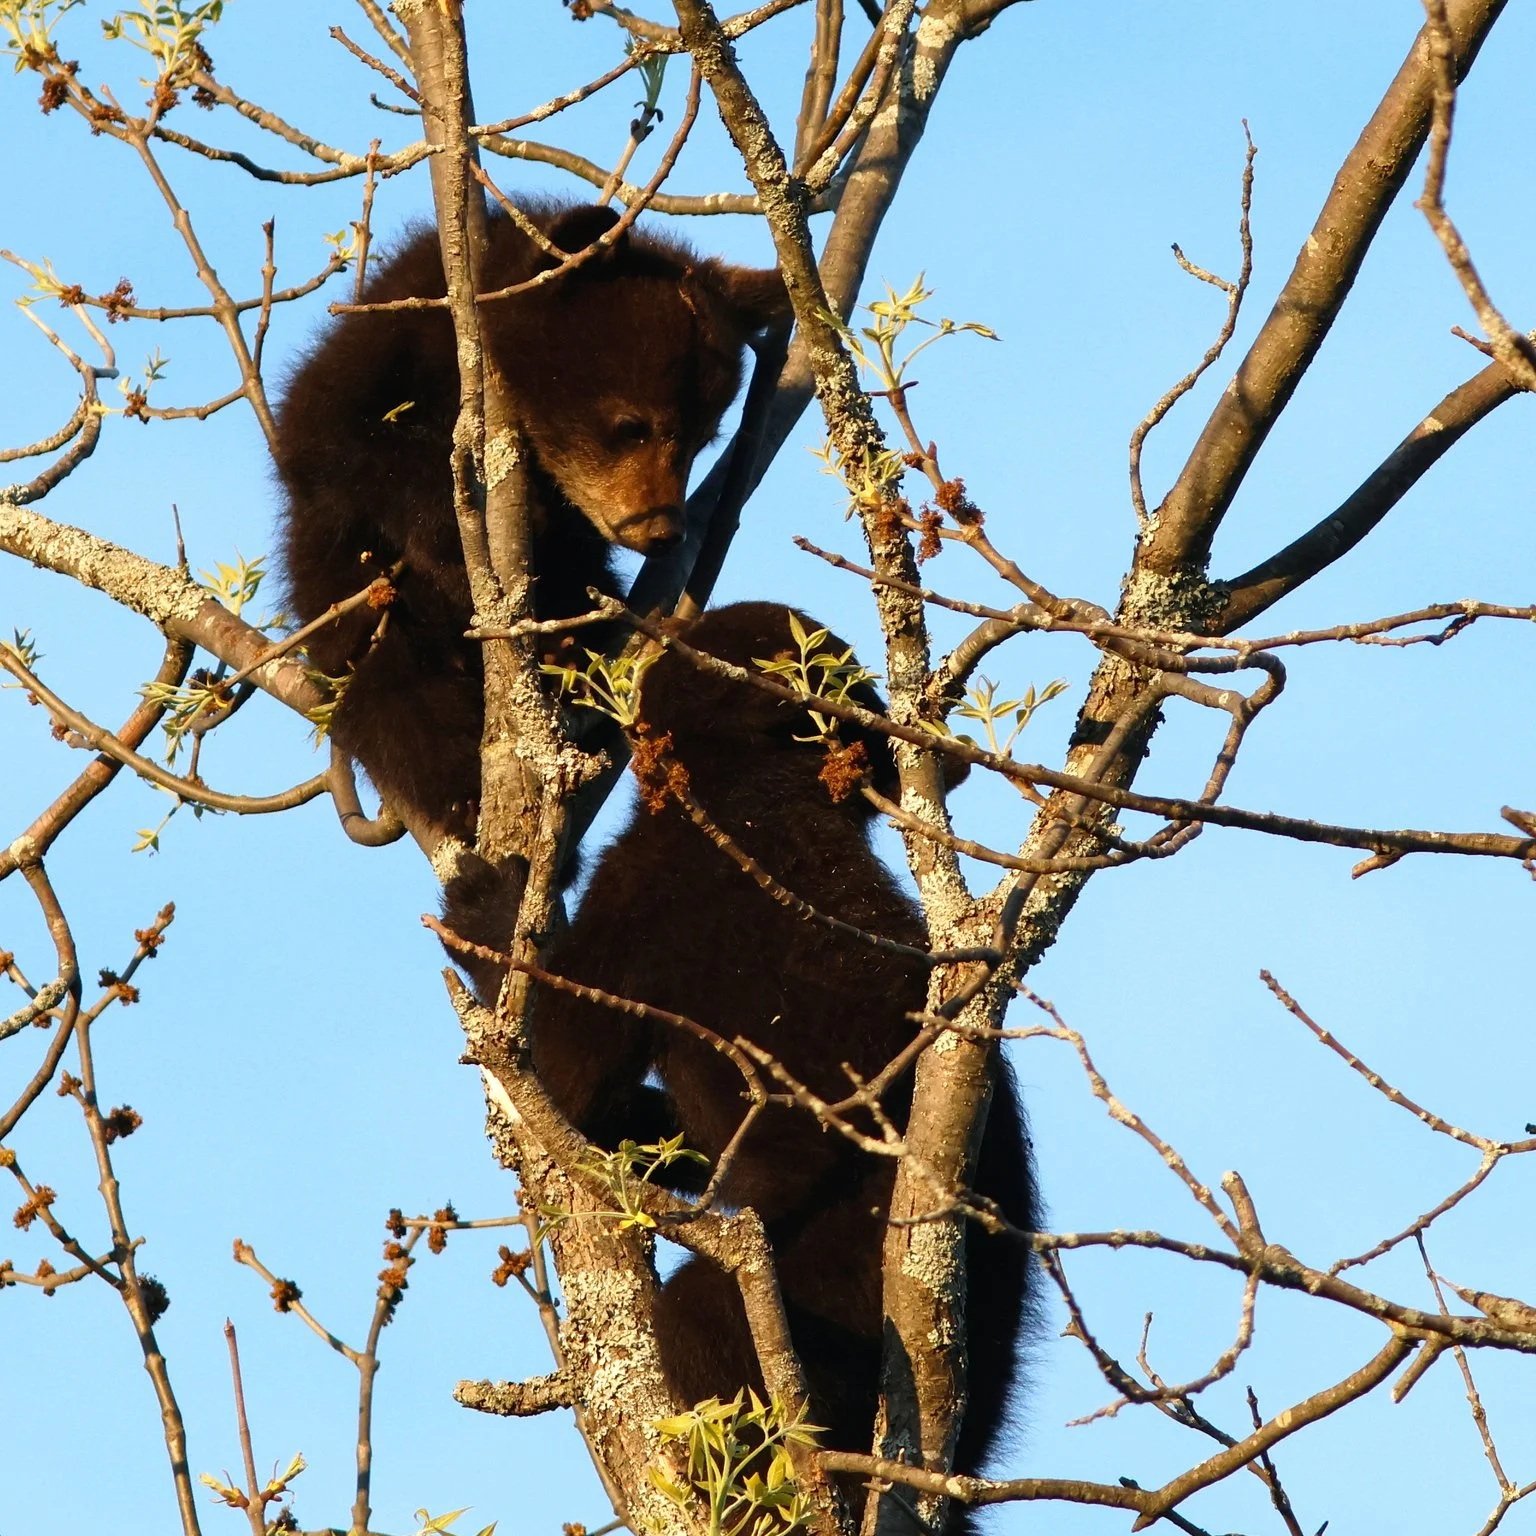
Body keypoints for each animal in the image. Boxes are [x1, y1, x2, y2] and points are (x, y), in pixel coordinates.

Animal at [272, 199, 790, 846]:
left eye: (702, 438)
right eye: (632, 425)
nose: (662, 532)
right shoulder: (390, 339)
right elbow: (336, 440)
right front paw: (451, 533)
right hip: (353, 609)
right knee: (396, 693)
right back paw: (461, 788)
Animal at [528, 601, 1040, 1527]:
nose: (887, 723)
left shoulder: (639, 890)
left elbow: (564, 1071)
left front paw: (481, 898)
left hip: (833, 1276)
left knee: (704, 1317)